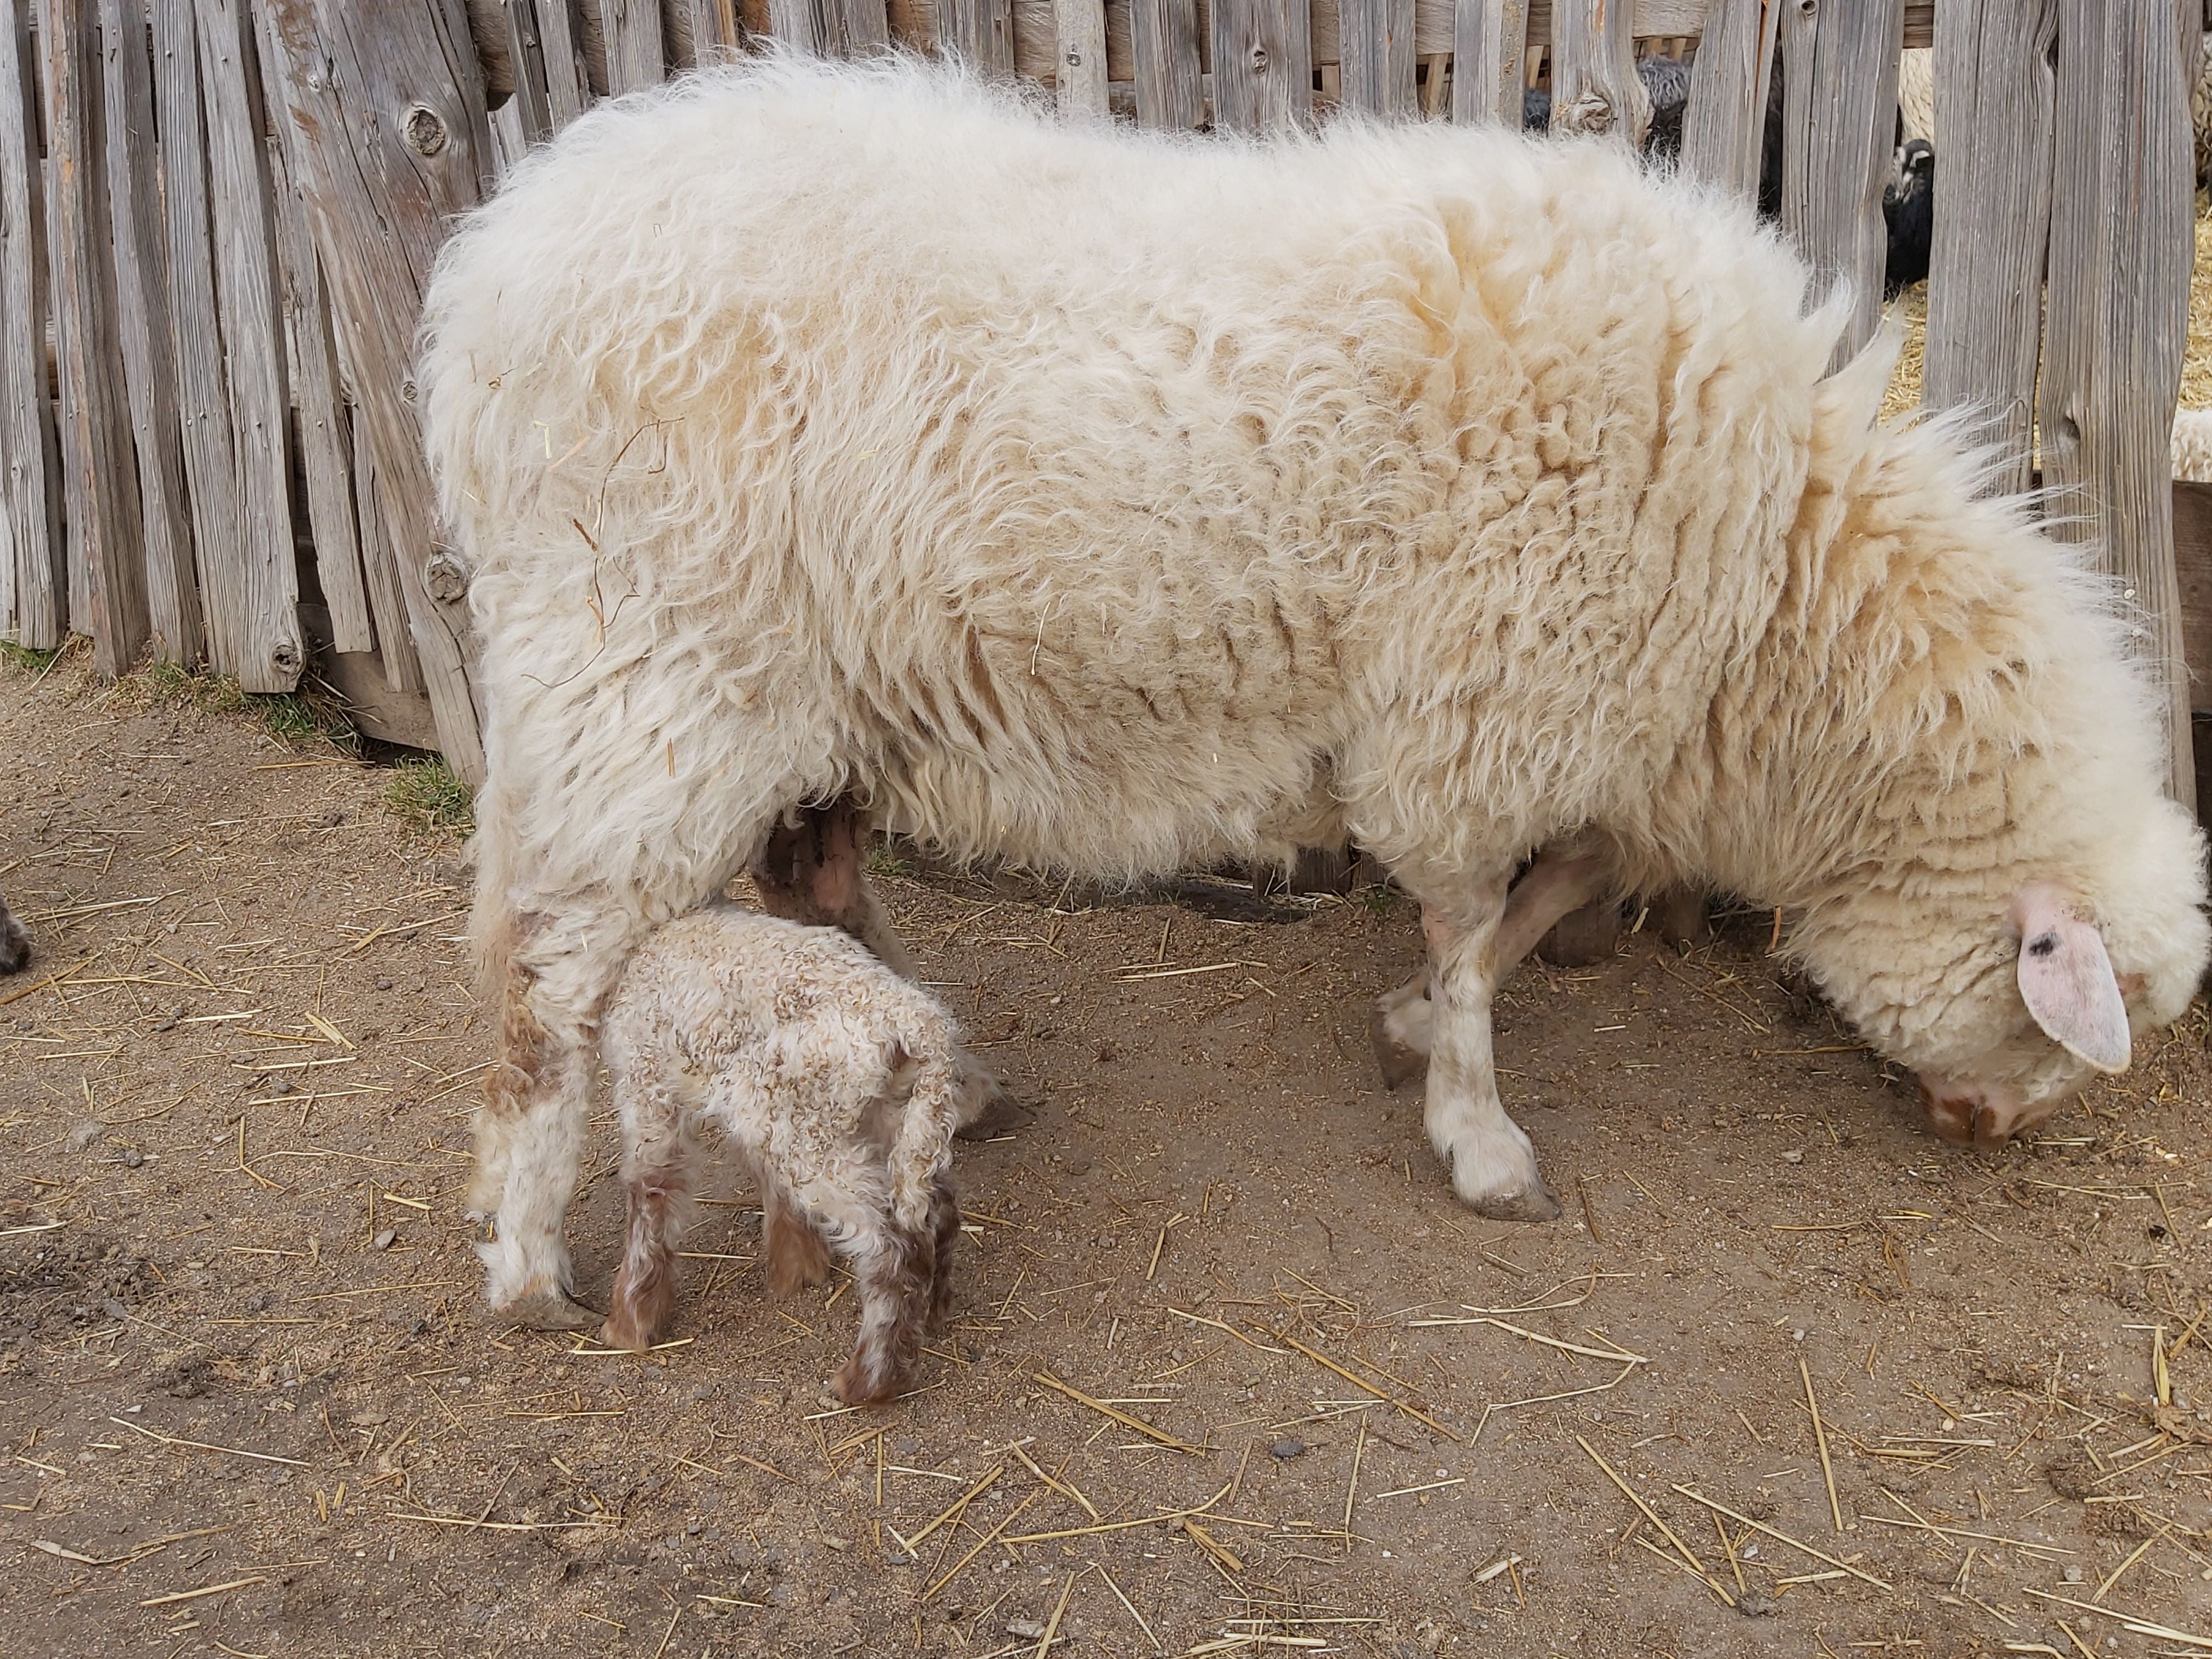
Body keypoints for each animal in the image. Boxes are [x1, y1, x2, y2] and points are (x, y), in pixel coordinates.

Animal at [421, 53, 2210, 1324]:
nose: (1983, 1138)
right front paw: (1479, 1136)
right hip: (643, 667)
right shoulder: (1479, 703)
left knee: (810, 872)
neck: (1772, 573)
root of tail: (497, 263)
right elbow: (1477, 926)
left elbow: (1556, 886)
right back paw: (524, 1261)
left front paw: (1418, 1028)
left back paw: (951, 1077)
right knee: (535, 980)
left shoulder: (1572, 711)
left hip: (807, 676)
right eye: (2050, 1023)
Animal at [599, 903, 962, 1404]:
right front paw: (797, 1270)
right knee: (935, 1207)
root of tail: (914, 1022)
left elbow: (650, 1191)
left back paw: (869, 1380)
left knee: (889, 1246)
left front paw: (630, 1322)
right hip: (893, 1115)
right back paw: (932, 1315)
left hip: (807, 1126)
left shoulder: (647, 1083)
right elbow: (765, 1180)